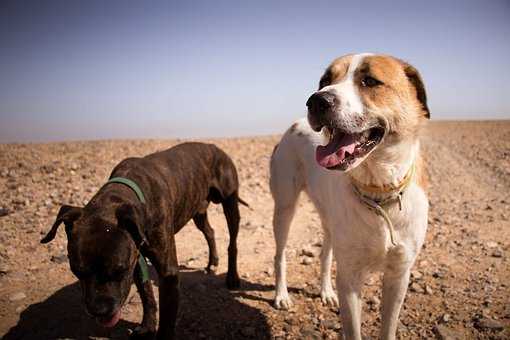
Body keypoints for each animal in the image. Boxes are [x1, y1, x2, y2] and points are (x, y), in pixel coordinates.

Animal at [40, 141, 247, 340]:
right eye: (76, 271)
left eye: (119, 270)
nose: (100, 312)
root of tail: (215, 148)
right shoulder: (136, 261)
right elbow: (147, 295)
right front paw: (148, 327)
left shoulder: (167, 272)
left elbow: (167, 320)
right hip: (198, 210)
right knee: (210, 232)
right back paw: (213, 261)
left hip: (230, 204)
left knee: (233, 242)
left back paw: (232, 277)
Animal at [270, 53, 430, 340]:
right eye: (325, 80)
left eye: (370, 81)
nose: (316, 101)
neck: (378, 195)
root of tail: (294, 124)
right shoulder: (351, 278)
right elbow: (353, 330)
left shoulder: (399, 276)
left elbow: (388, 327)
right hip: (285, 208)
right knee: (280, 256)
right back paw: (282, 296)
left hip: (329, 221)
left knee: (325, 254)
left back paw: (326, 292)